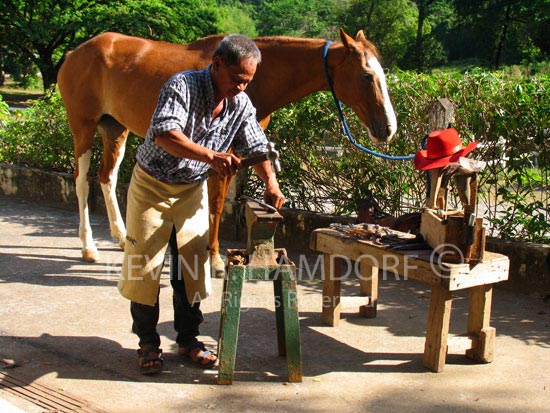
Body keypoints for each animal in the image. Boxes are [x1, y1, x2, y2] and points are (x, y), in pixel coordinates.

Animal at [58, 27, 398, 268]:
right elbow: (217, 205)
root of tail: (76, 51)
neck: (261, 76)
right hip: (83, 128)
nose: (389, 128)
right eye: (367, 76)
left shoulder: (242, 149)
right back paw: (88, 247)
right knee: (81, 181)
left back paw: (119, 237)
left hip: (115, 128)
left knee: (107, 177)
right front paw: (214, 259)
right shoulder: (223, 157)